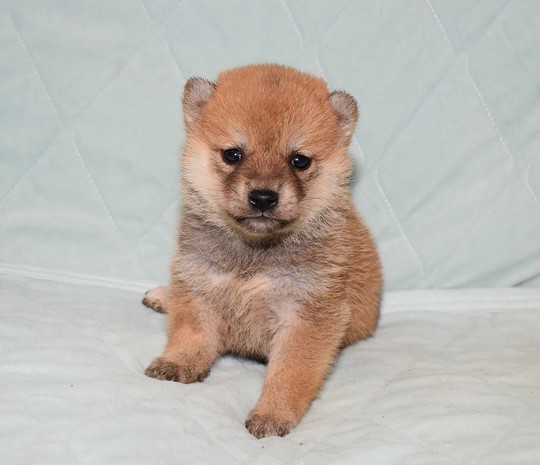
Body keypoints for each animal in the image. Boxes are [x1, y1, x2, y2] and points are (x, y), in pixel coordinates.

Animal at [142, 64, 382, 438]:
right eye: (233, 154)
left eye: (299, 160)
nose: (264, 197)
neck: (254, 254)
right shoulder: (198, 285)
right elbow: (190, 334)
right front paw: (177, 361)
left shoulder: (307, 317)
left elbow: (290, 372)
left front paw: (273, 414)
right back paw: (161, 296)